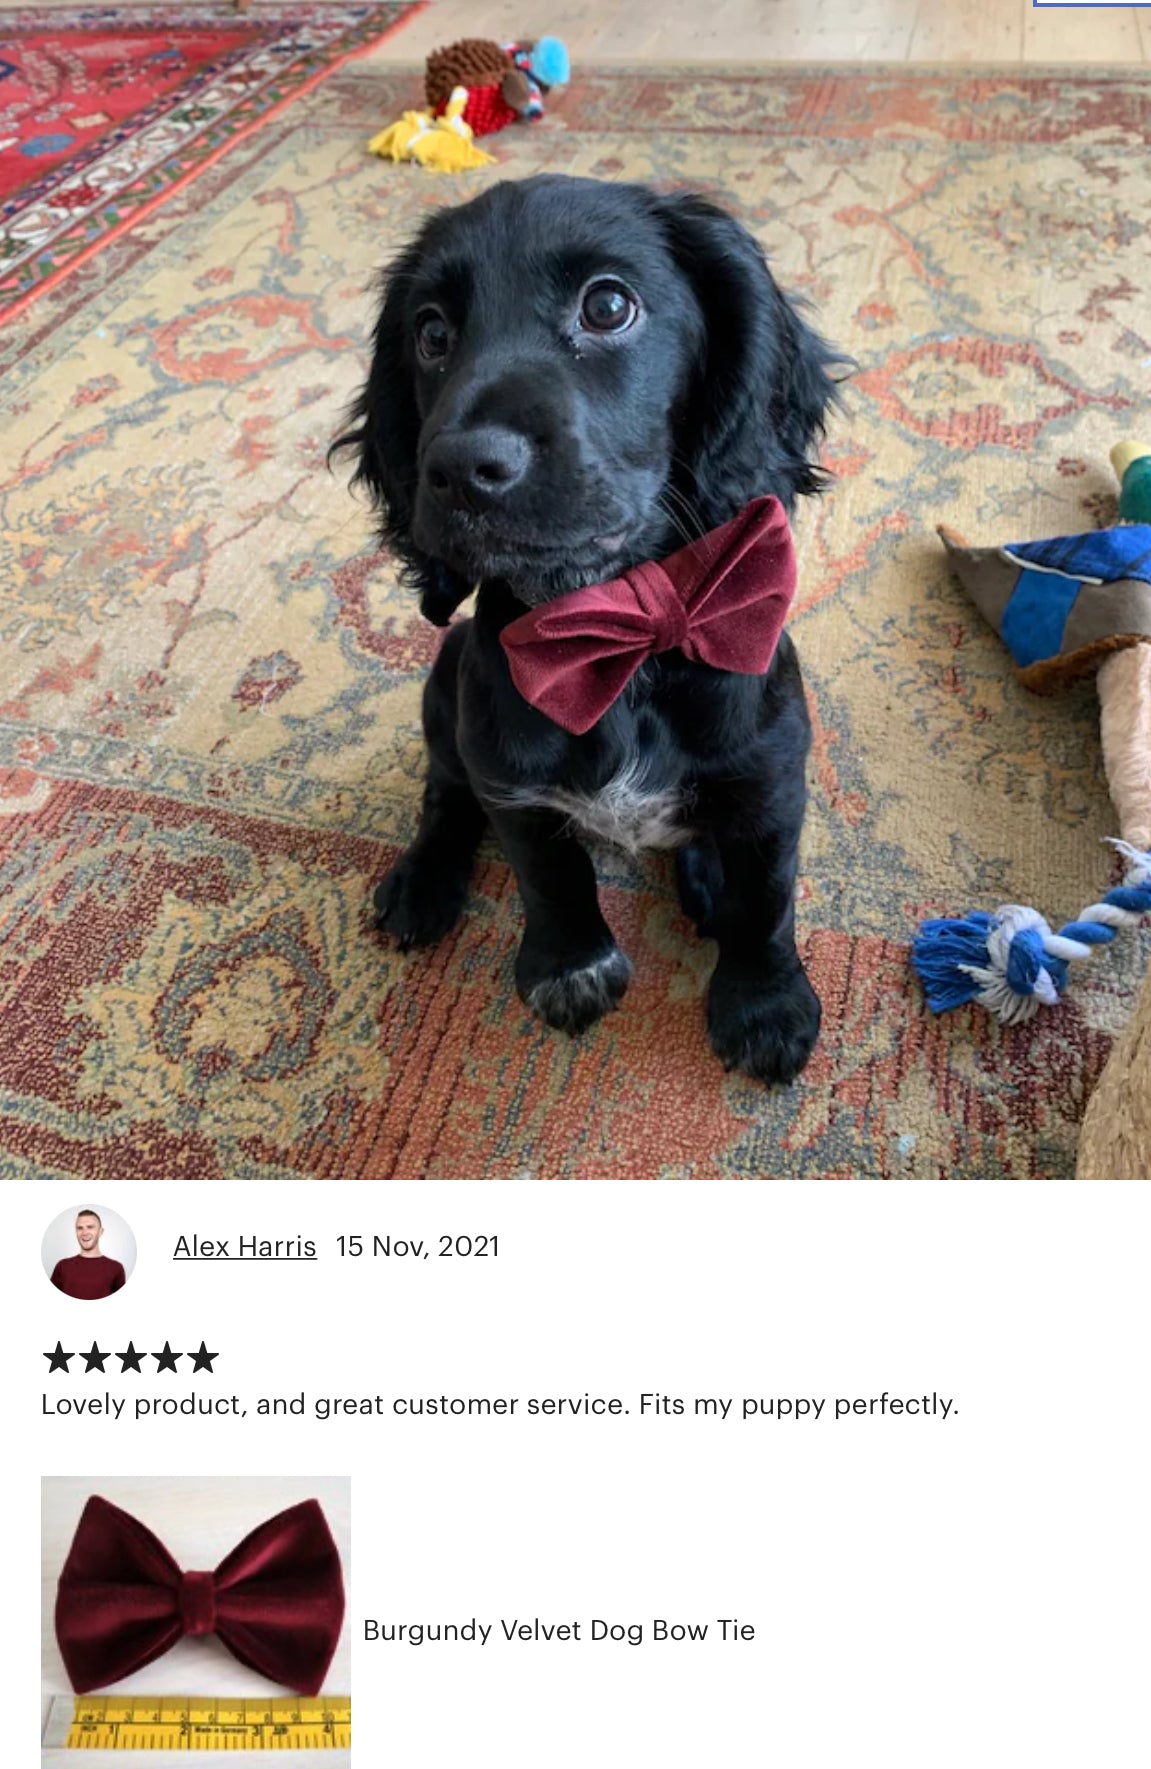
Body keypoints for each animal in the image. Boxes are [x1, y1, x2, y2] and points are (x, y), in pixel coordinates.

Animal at [337, 172, 841, 1082]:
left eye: (607, 305)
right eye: (430, 333)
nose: (460, 470)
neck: (619, 632)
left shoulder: (773, 775)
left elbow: (765, 899)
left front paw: (765, 1005)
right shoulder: (510, 779)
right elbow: (551, 876)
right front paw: (569, 967)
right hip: (446, 680)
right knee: (443, 791)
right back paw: (421, 882)